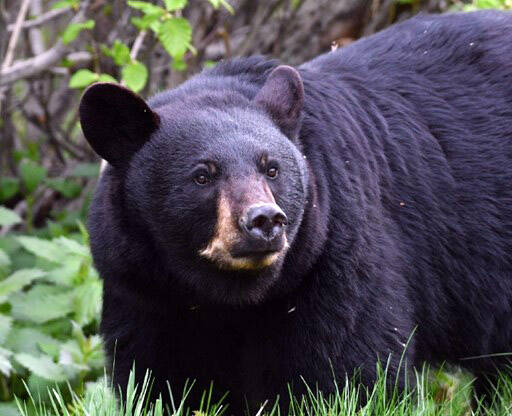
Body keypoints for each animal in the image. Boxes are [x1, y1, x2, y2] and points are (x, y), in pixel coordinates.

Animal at [78, 8, 512, 412]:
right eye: (202, 175)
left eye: (272, 168)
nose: (264, 220)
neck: (224, 295)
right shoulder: (144, 290)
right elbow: (161, 378)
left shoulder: (333, 251)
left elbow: (350, 369)